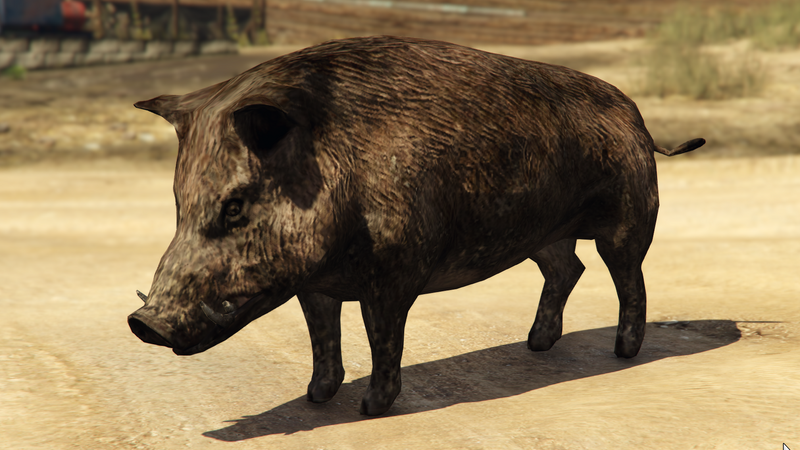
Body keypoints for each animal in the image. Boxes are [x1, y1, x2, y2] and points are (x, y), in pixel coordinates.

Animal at [128, 36, 704, 416]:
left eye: (235, 206)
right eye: (178, 203)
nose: (144, 323)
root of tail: (639, 121)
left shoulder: (395, 272)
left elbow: (383, 336)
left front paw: (370, 409)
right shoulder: (314, 284)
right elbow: (322, 336)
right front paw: (317, 398)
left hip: (631, 216)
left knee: (628, 276)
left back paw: (623, 353)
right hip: (542, 233)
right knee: (569, 268)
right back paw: (535, 347)